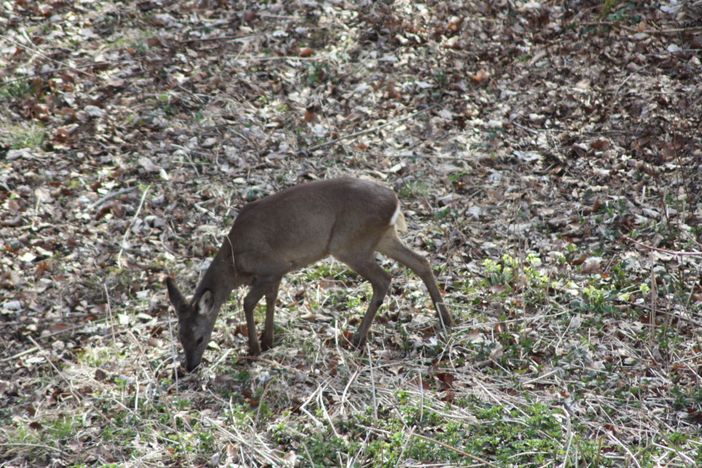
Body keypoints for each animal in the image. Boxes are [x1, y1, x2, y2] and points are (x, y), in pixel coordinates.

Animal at [168, 177, 456, 372]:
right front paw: (268, 340)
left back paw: (358, 338)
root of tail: (395, 202)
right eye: (180, 337)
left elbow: (247, 302)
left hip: (349, 244)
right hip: (382, 238)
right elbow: (270, 300)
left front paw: (255, 347)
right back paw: (446, 318)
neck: (234, 262)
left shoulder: (272, 267)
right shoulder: (276, 274)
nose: (190, 367)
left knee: (384, 279)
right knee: (421, 262)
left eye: (199, 338)